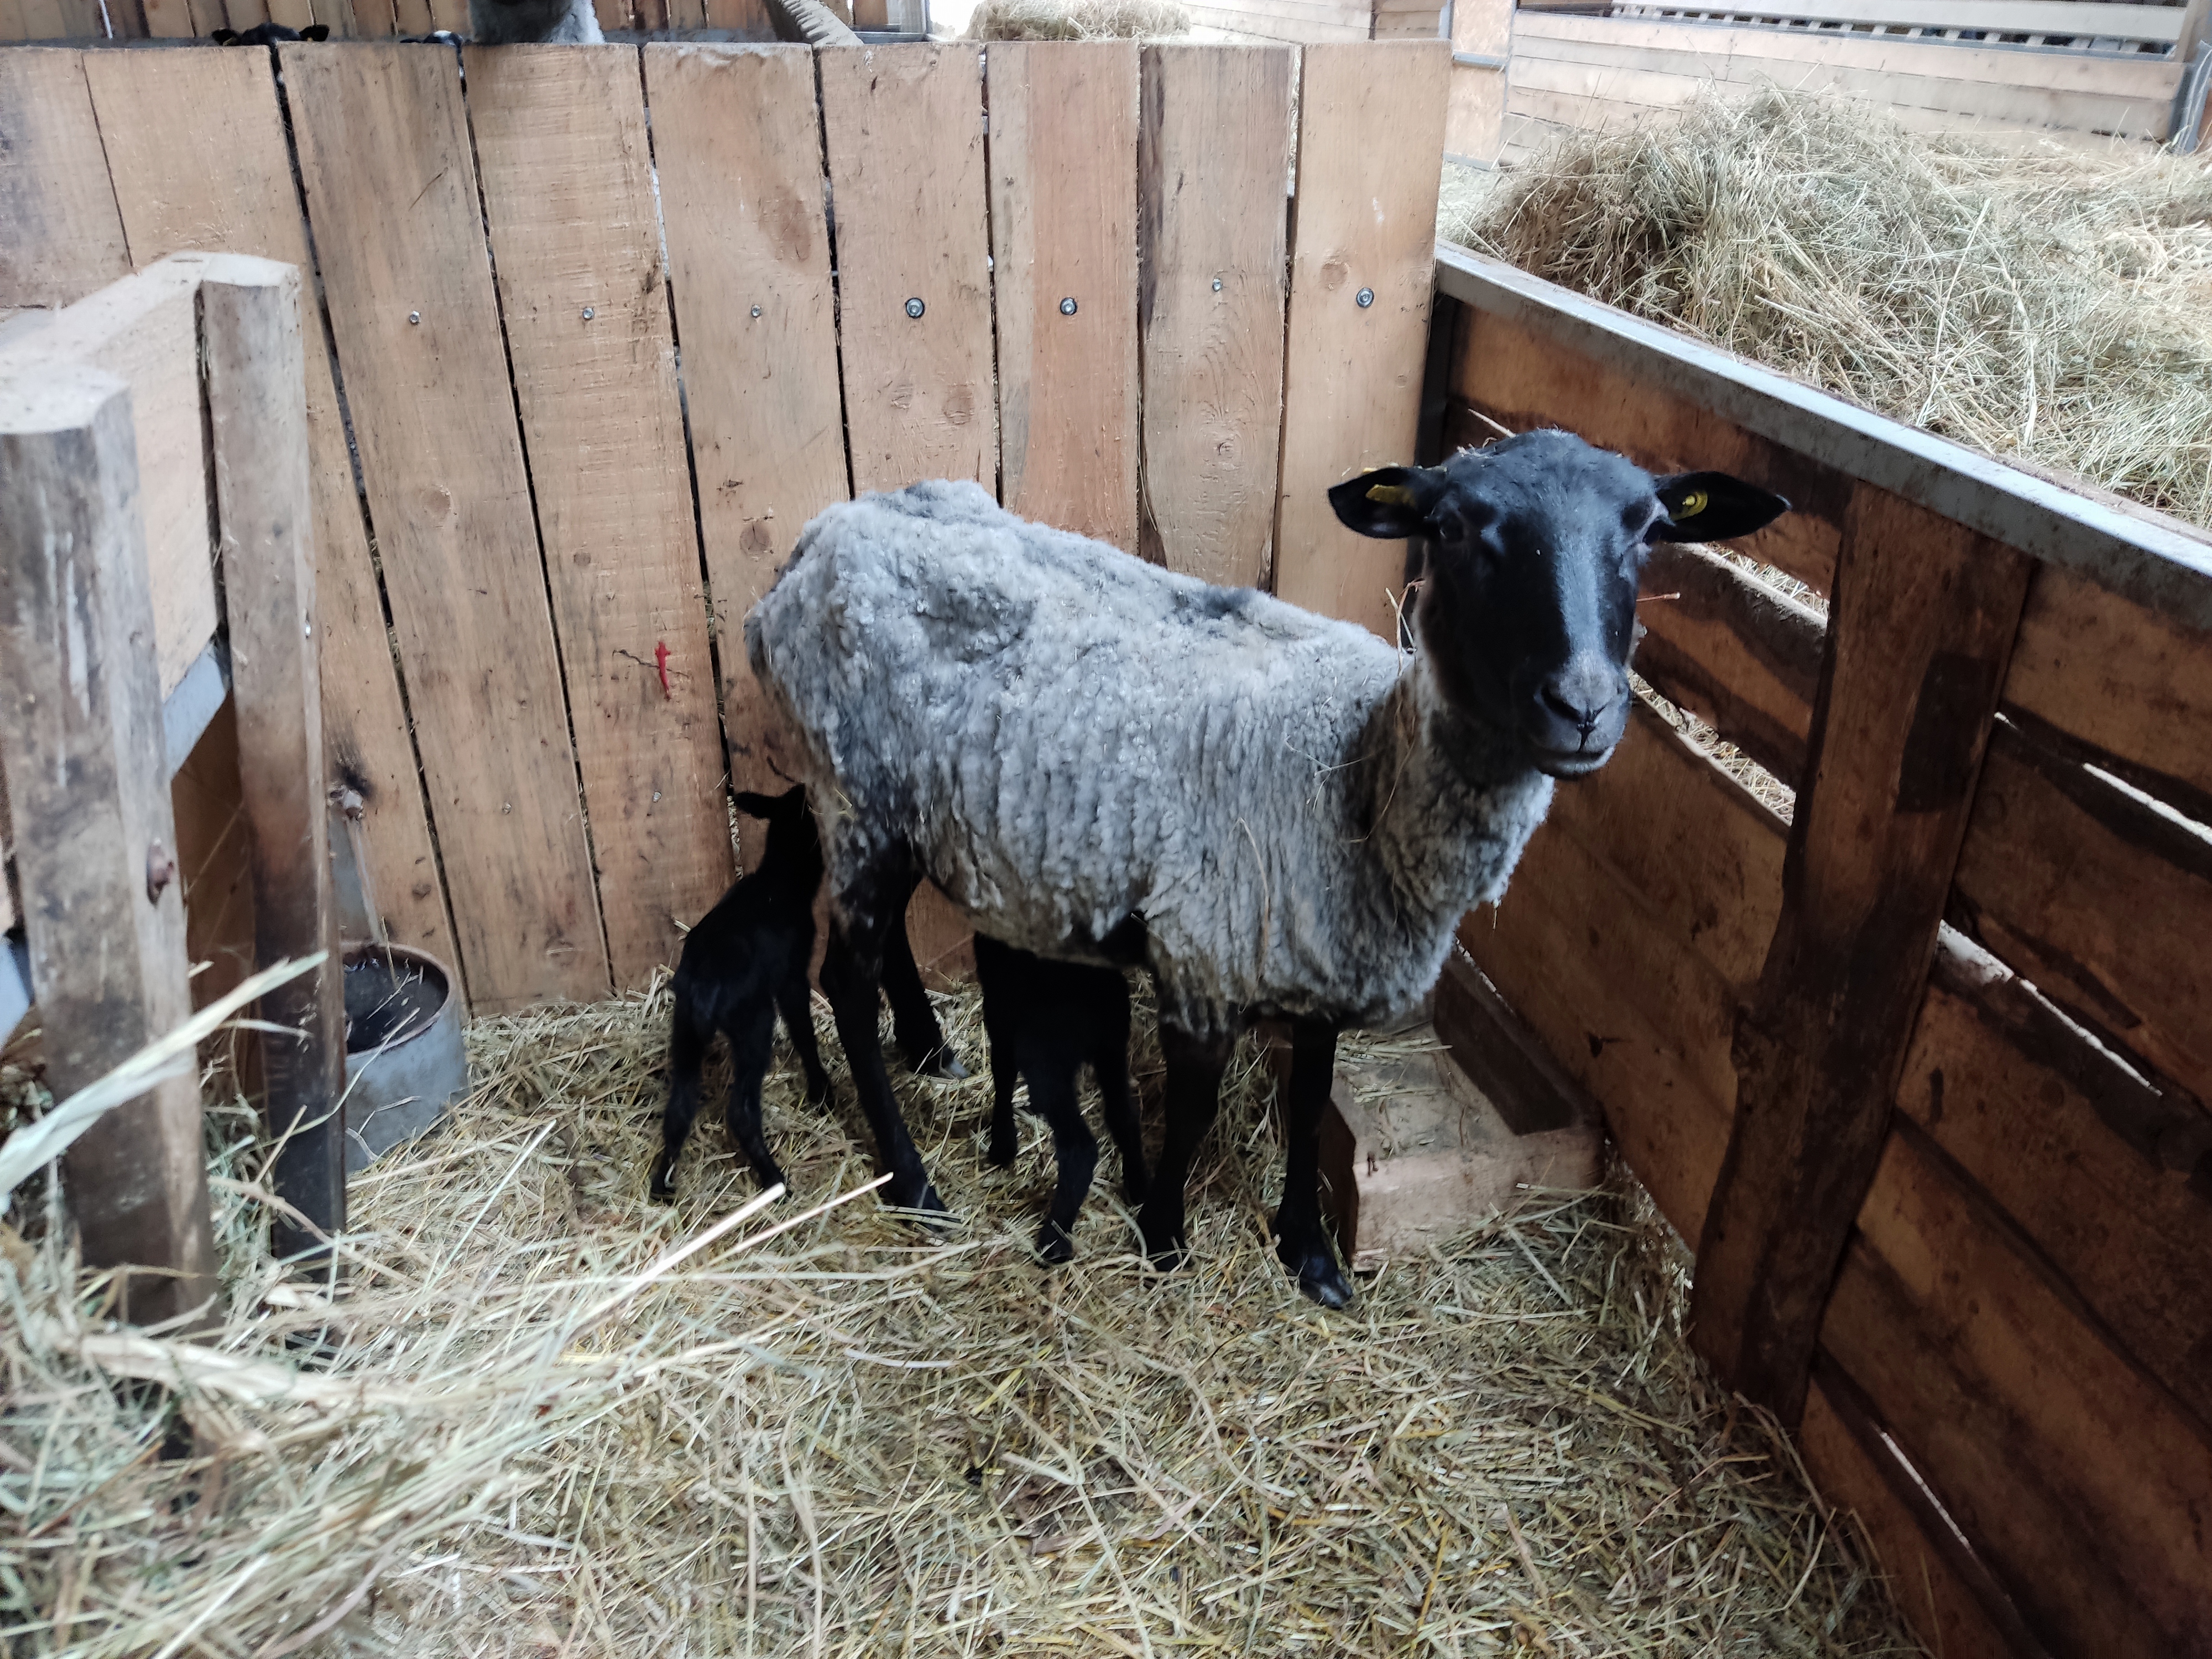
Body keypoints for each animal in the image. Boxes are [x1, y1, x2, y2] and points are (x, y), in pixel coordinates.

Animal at [973, 933, 1145, 1263]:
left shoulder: (1001, 1019)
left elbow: (1003, 1074)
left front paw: (1002, 1146)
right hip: (1113, 1049)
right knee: (1124, 1117)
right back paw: (1139, 1187)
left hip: (1047, 1059)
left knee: (1080, 1147)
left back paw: (1054, 1240)